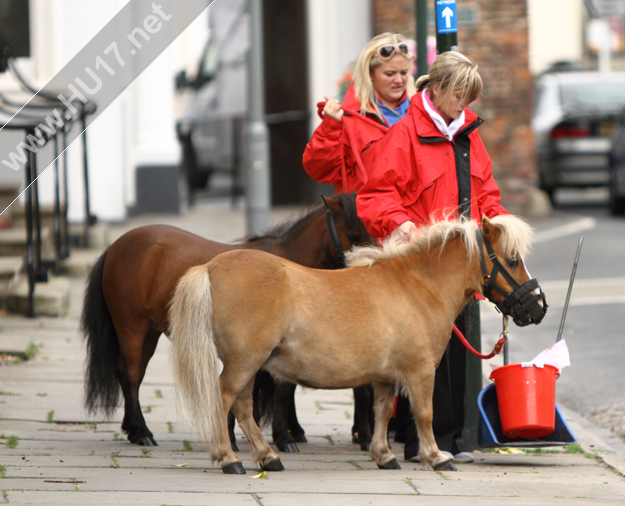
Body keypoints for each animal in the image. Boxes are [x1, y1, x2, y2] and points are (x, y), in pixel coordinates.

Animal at [78, 195, 370, 450]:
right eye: (353, 235)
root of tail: (115, 247)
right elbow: (272, 389)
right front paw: (276, 437)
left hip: (151, 331)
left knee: (135, 374)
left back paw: (132, 429)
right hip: (132, 327)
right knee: (129, 374)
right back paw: (142, 432)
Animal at [168, 213, 544, 474]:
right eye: (512, 261)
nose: (538, 308)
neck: (416, 287)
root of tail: (210, 268)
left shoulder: (386, 377)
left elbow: (381, 411)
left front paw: (384, 455)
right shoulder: (420, 372)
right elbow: (424, 414)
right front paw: (436, 457)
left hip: (249, 365)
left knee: (243, 407)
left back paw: (267, 456)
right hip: (244, 362)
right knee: (224, 401)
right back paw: (228, 458)